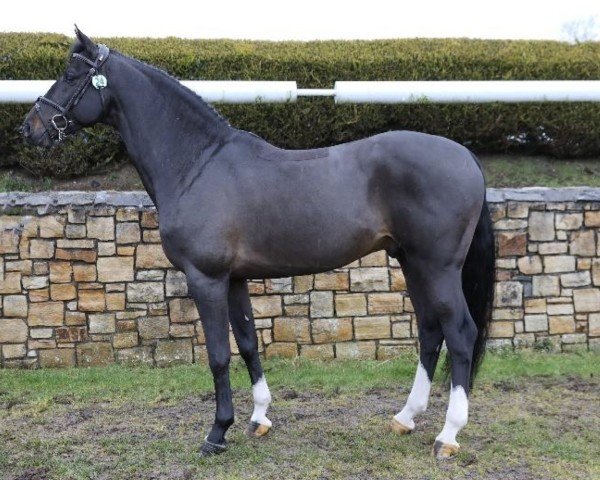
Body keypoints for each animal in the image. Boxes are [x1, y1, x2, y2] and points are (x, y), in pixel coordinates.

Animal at [21, 29, 494, 458]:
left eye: (70, 74)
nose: (30, 127)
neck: (197, 163)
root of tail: (466, 157)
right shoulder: (234, 279)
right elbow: (248, 342)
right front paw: (259, 418)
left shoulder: (205, 279)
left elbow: (217, 354)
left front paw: (217, 433)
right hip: (411, 262)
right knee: (430, 331)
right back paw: (405, 418)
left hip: (438, 267)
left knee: (460, 333)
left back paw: (448, 436)